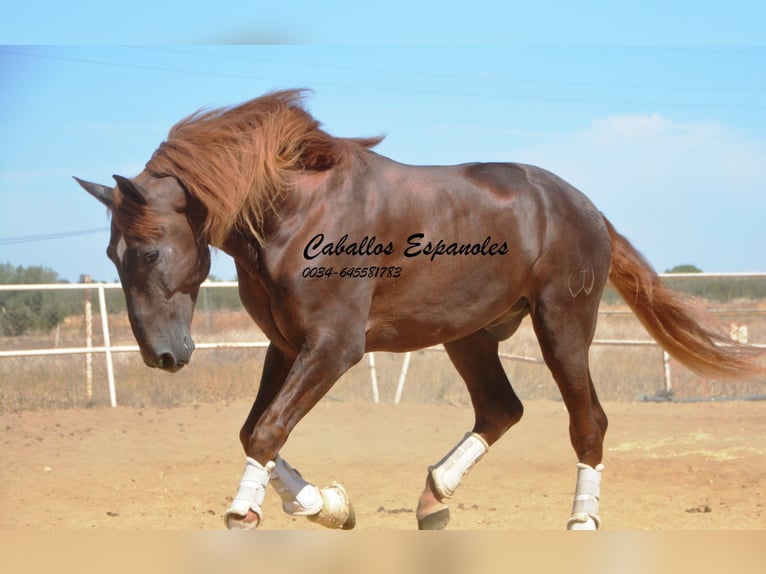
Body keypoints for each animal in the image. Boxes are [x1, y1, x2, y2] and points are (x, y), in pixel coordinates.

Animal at [76, 88, 760, 532]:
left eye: (149, 250)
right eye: (111, 254)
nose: (162, 356)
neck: (292, 213)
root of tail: (584, 205)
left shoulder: (335, 347)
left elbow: (268, 430)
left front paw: (248, 511)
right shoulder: (287, 345)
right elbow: (256, 431)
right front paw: (328, 507)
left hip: (562, 324)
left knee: (587, 422)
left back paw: (581, 520)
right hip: (469, 334)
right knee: (501, 409)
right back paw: (433, 498)